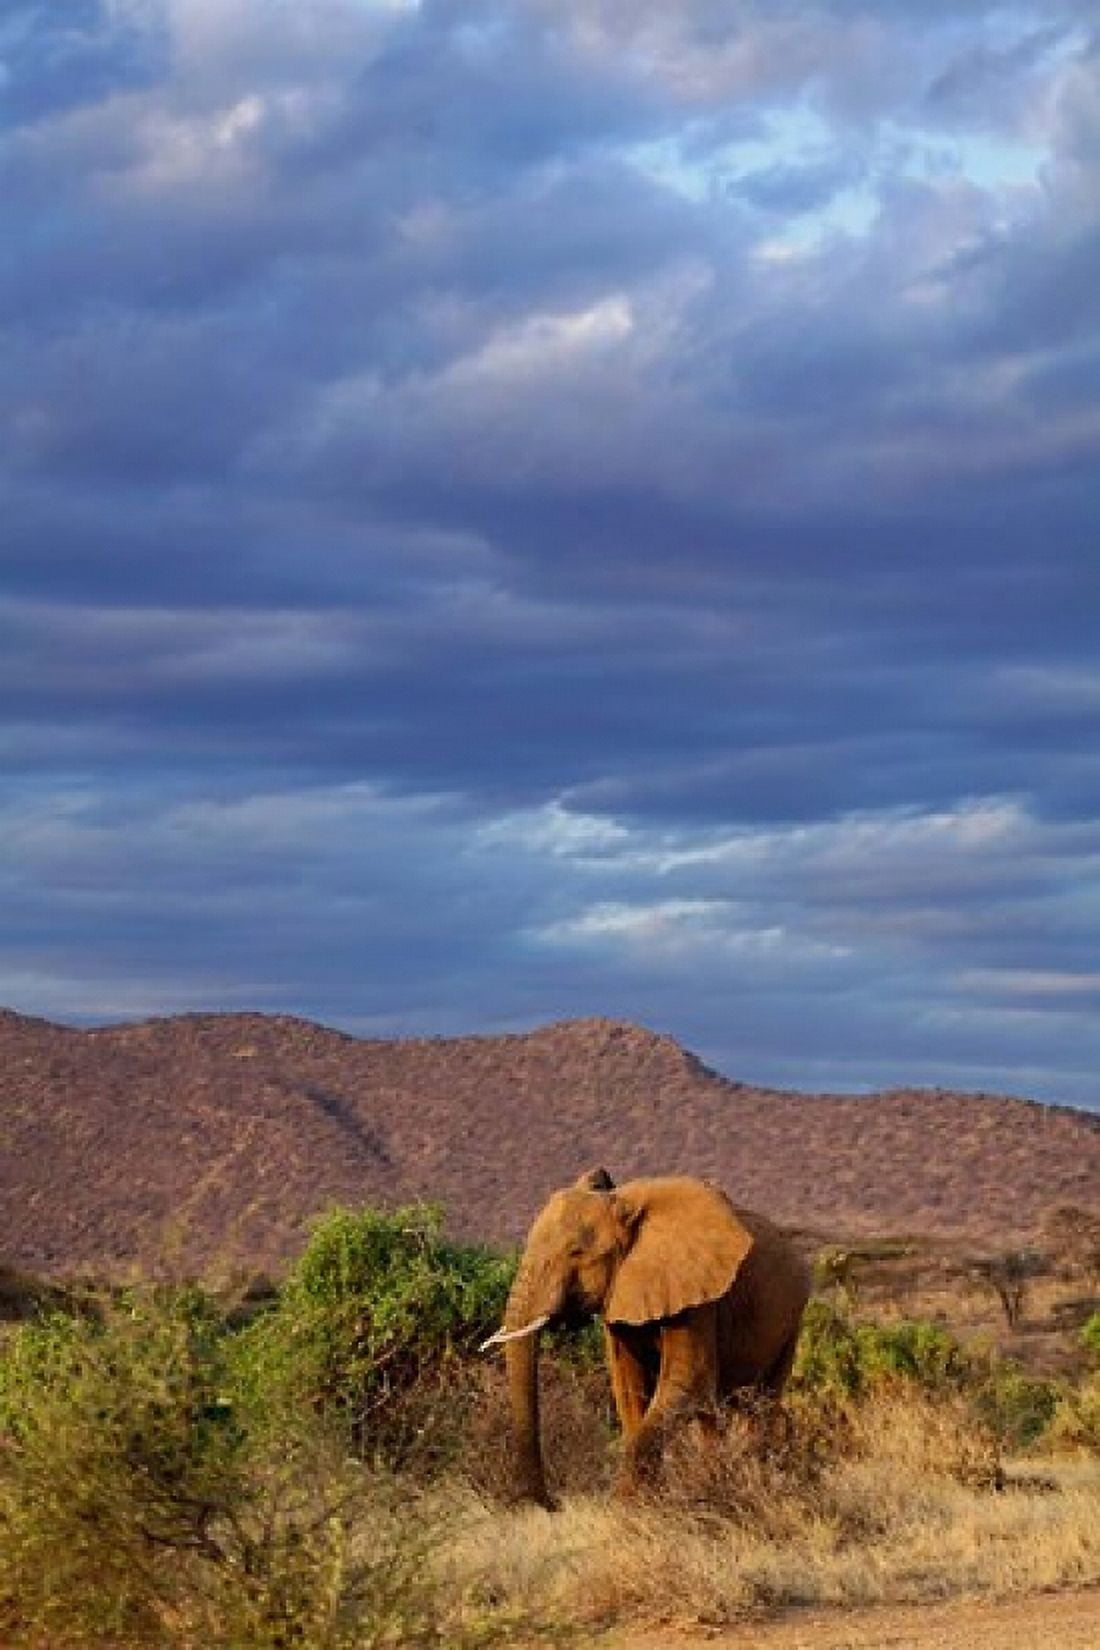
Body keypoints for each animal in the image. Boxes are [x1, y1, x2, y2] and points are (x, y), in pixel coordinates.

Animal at [482, 1168, 811, 1507]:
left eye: (576, 1253)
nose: (551, 1504)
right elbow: (629, 1386)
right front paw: (645, 1500)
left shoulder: (696, 1293)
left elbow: (688, 1383)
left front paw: (624, 1506)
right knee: (712, 1414)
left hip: (791, 1322)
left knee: (760, 1402)